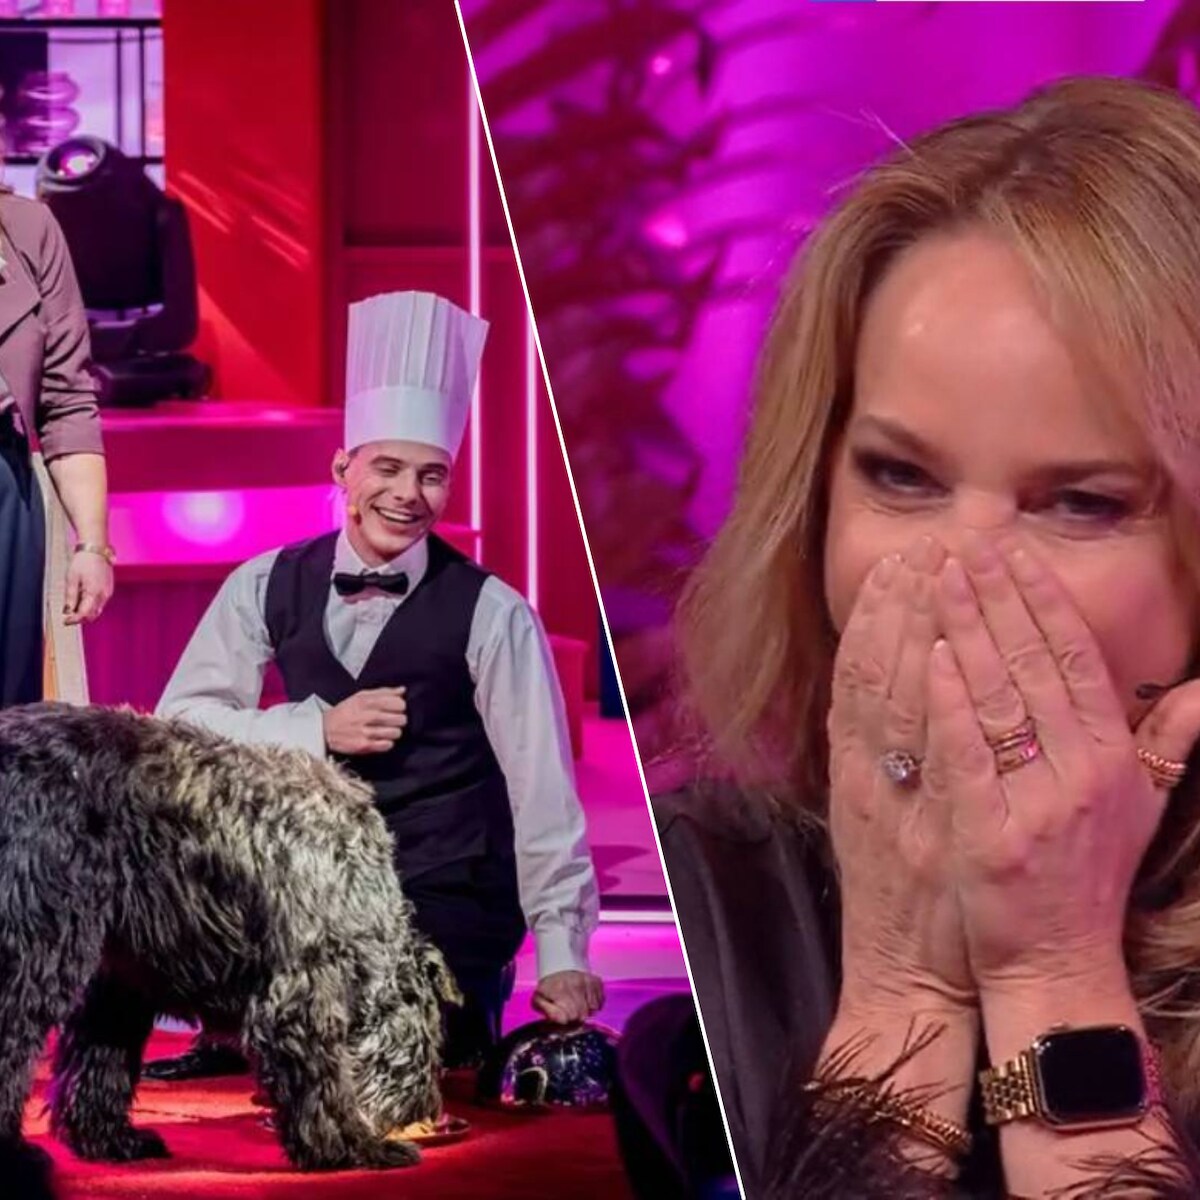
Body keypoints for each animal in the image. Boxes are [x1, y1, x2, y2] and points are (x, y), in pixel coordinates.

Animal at [0, 702, 461, 1192]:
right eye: (430, 1038)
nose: (424, 1108)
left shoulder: (121, 983)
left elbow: (99, 1066)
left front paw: (109, 1140)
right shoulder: (302, 993)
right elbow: (324, 1082)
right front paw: (354, 1148)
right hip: (30, 957)